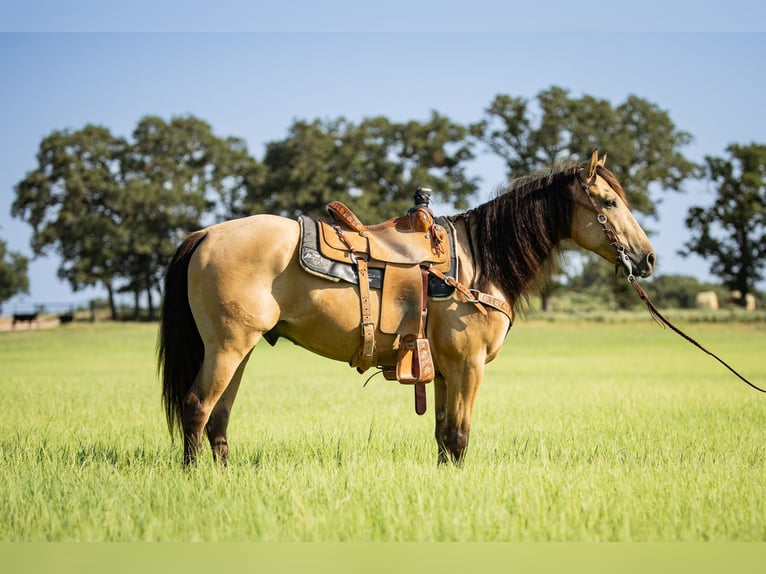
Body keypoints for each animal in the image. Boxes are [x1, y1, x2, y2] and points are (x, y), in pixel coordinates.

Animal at [158, 151, 655, 466]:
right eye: (608, 202)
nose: (647, 258)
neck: (478, 262)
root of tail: (206, 234)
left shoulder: (446, 368)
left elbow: (443, 437)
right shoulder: (469, 365)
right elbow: (458, 436)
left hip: (240, 349)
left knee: (219, 415)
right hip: (226, 347)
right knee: (197, 407)